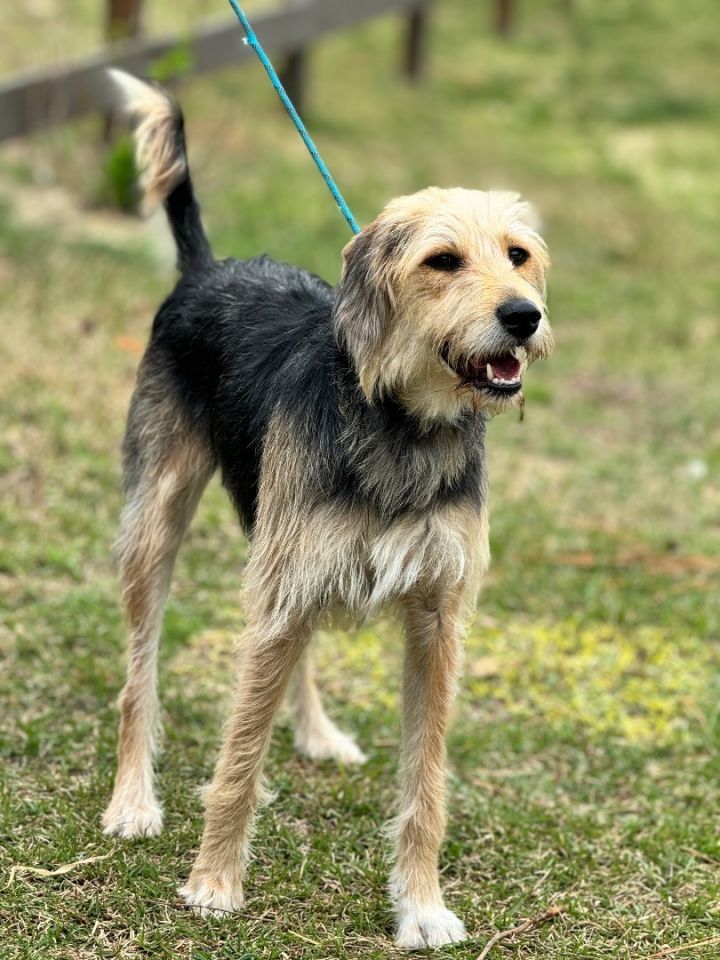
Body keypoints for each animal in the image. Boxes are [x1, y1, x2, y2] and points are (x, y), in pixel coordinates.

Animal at [101, 71, 552, 948]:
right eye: (442, 260)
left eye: (517, 254)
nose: (524, 315)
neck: (403, 423)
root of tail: (207, 268)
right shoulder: (280, 591)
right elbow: (239, 758)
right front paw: (214, 883)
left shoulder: (437, 619)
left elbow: (426, 785)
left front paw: (421, 905)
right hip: (160, 524)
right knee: (141, 675)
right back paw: (134, 800)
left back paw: (312, 733)